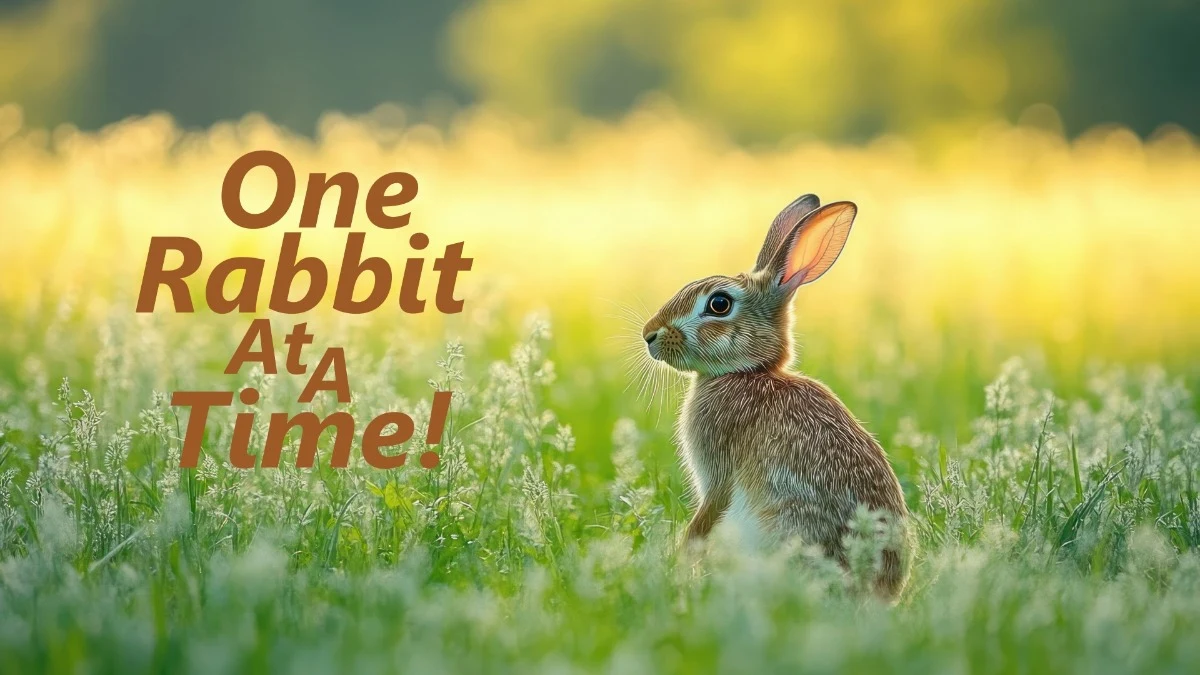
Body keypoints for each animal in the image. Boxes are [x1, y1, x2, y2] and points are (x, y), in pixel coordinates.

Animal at [642, 194, 910, 600]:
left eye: (719, 304)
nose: (648, 334)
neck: (748, 372)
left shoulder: (718, 472)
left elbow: (707, 514)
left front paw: (683, 560)